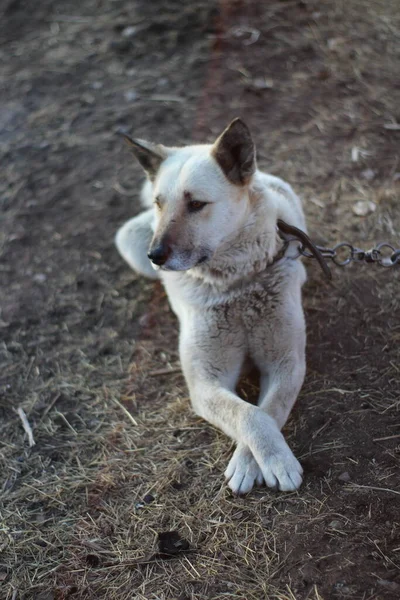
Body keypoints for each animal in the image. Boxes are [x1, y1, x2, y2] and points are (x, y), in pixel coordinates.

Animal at [114, 119, 308, 494]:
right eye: (161, 203)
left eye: (196, 204)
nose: (155, 255)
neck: (236, 286)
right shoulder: (205, 381)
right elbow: (249, 413)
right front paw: (266, 460)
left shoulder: (286, 363)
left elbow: (268, 409)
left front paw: (260, 461)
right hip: (130, 242)